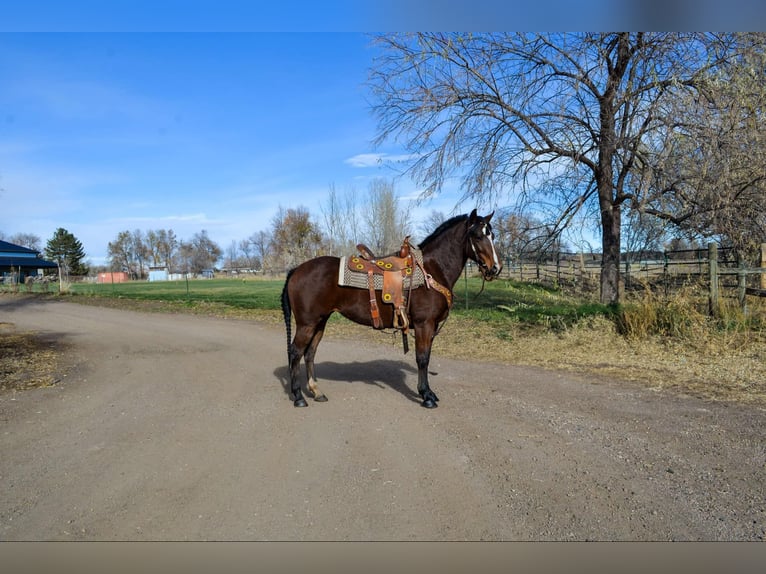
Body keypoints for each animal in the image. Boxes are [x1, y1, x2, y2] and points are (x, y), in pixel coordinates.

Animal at [280, 209, 502, 408]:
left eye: (492, 235)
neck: (431, 270)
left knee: (310, 353)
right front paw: (426, 396)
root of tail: (296, 270)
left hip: (320, 321)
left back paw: (316, 392)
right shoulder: (424, 325)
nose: (495, 268)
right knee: (296, 353)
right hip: (307, 323)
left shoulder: (430, 328)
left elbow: (427, 357)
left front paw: (429, 393)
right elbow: (422, 359)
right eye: (478, 235)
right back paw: (298, 396)